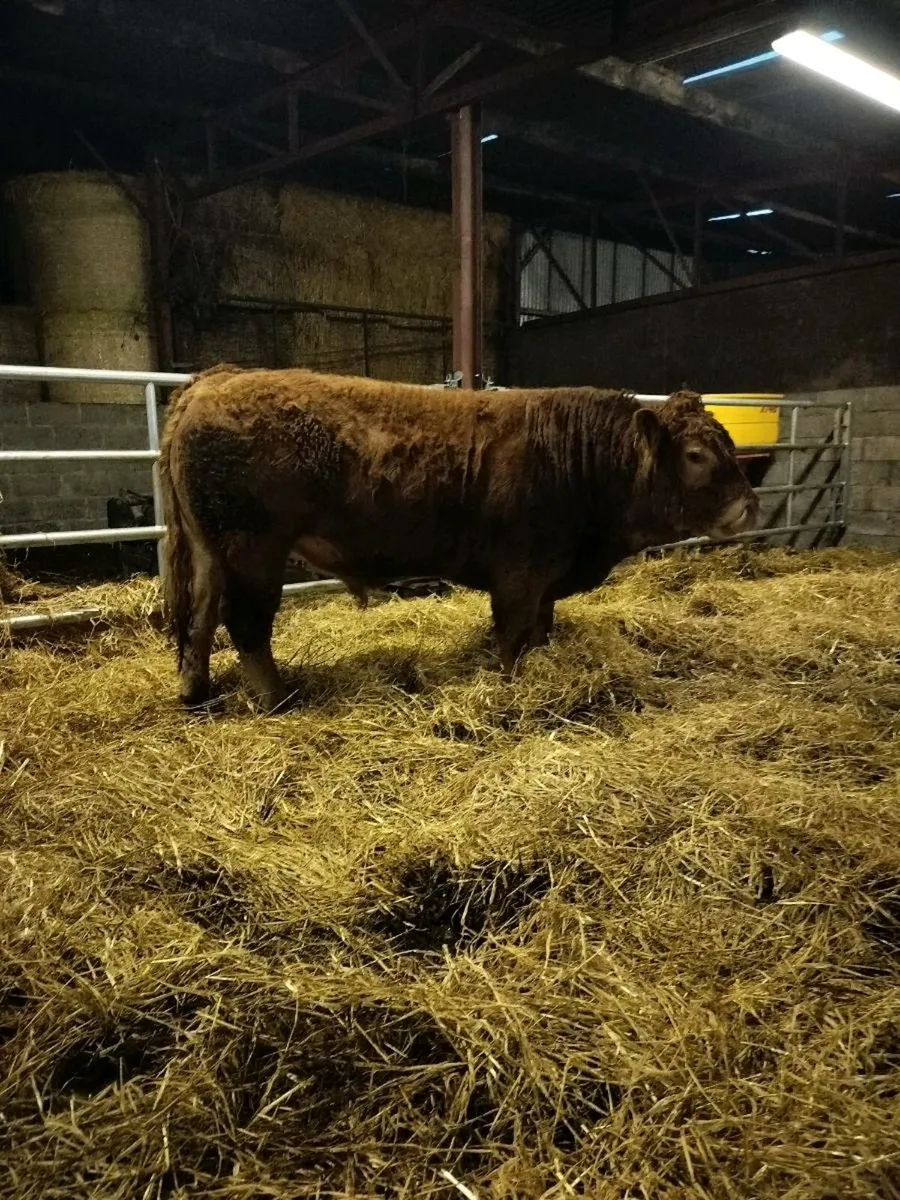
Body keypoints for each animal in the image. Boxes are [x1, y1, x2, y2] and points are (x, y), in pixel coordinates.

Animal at [159, 365, 759, 711]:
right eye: (696, 455)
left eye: (729, 443)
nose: (748, 506)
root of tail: (215, 380)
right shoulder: (519, 572)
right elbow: (512, 635)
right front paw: (508, 686)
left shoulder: (546, 577)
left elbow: (540, 630)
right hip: (252, 549)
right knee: (245, 624)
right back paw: (278, 700)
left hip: (212, 550)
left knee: (200, 618)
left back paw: (195, 691)